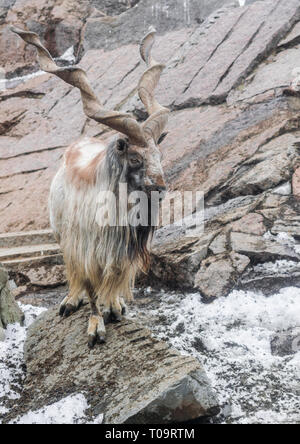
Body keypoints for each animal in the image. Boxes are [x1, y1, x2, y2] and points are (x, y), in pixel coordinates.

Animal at [11, 26, 170, 348]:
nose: (160, 189)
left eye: (159, 155)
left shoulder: (120, 253)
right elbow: (90, 285)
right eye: (135, 158)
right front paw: (95, 327)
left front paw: (114, 308)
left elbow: (112, 281)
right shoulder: (83, 249)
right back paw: (71, 301)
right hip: (60, 234)